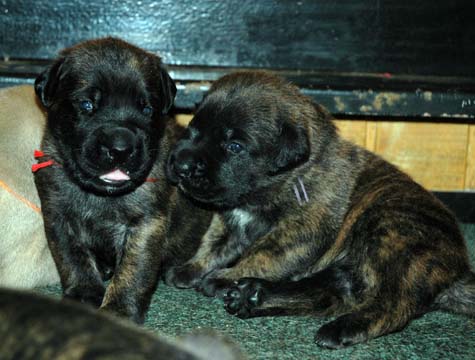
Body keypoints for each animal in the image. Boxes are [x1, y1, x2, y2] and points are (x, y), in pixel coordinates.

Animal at [33, 38, 212, 322]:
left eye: (147, 109)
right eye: (87, 105)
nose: (120, 149)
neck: (99, 195)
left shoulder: (146, 225)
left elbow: (133, 270)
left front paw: (118, 309)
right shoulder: (59, 216)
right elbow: (72, 257)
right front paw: (83, 293)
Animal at [166, 71, 475, 348]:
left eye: (234, 146)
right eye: (193, 131)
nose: (180, 165)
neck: (289, 176)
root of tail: (458, 270)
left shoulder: (296, 233)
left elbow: (261, 255)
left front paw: (224, 277)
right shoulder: (230, 222)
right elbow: (213, 245)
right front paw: (192, 267)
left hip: (390, 233)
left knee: (391, 307)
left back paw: (341, 328)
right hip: (349, 267)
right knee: (333, 295)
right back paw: (252, 296)